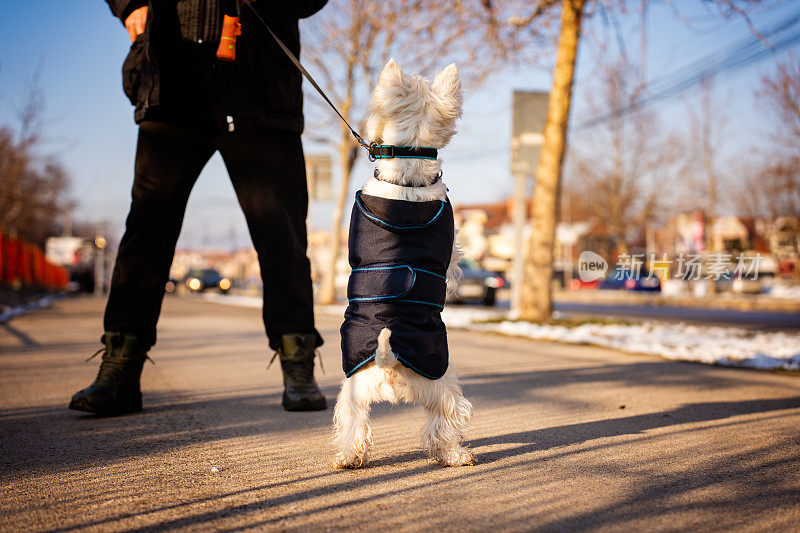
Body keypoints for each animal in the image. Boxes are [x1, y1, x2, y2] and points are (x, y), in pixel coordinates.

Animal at [332, 57, 476, 466]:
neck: (406, 181)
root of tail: (390, 359)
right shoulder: (450, 247)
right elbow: (454, 261)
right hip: (444, 382)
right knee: (445, 421)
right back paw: (457, 455)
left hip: (353, 393)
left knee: (353, 425)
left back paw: (347, 459)